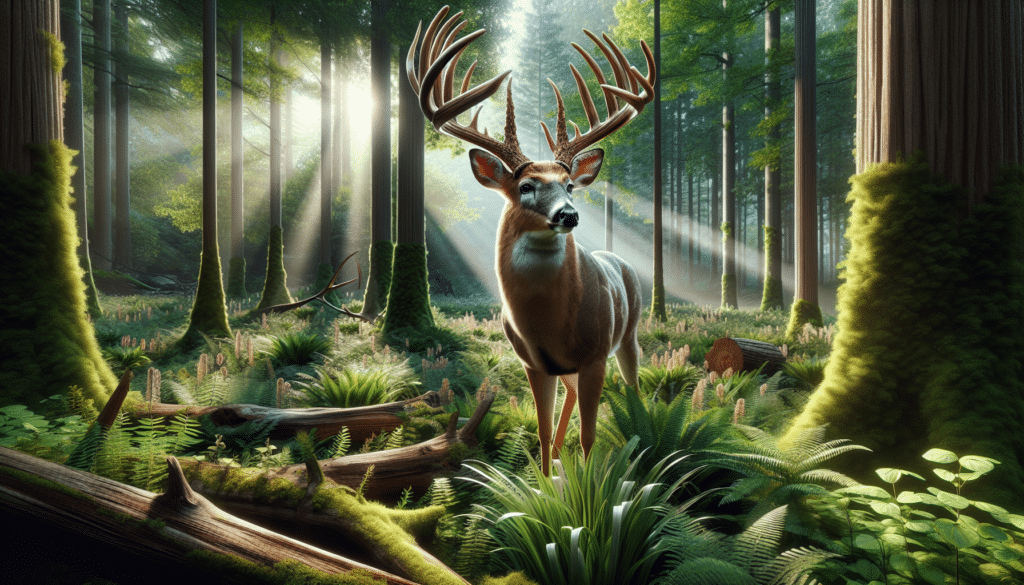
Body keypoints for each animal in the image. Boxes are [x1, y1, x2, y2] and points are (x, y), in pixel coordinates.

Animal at [407, 6, 655, 476]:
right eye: (526, 186)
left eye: (570, 186)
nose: (569, 214)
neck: (548, 323)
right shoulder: (533, 363)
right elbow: (540, 430)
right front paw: (543, 480)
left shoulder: (595, 355)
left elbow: (589, 435)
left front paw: (589, 489)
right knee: (569, 401)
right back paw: (561, 460)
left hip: (629, 332)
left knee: (633, 388)